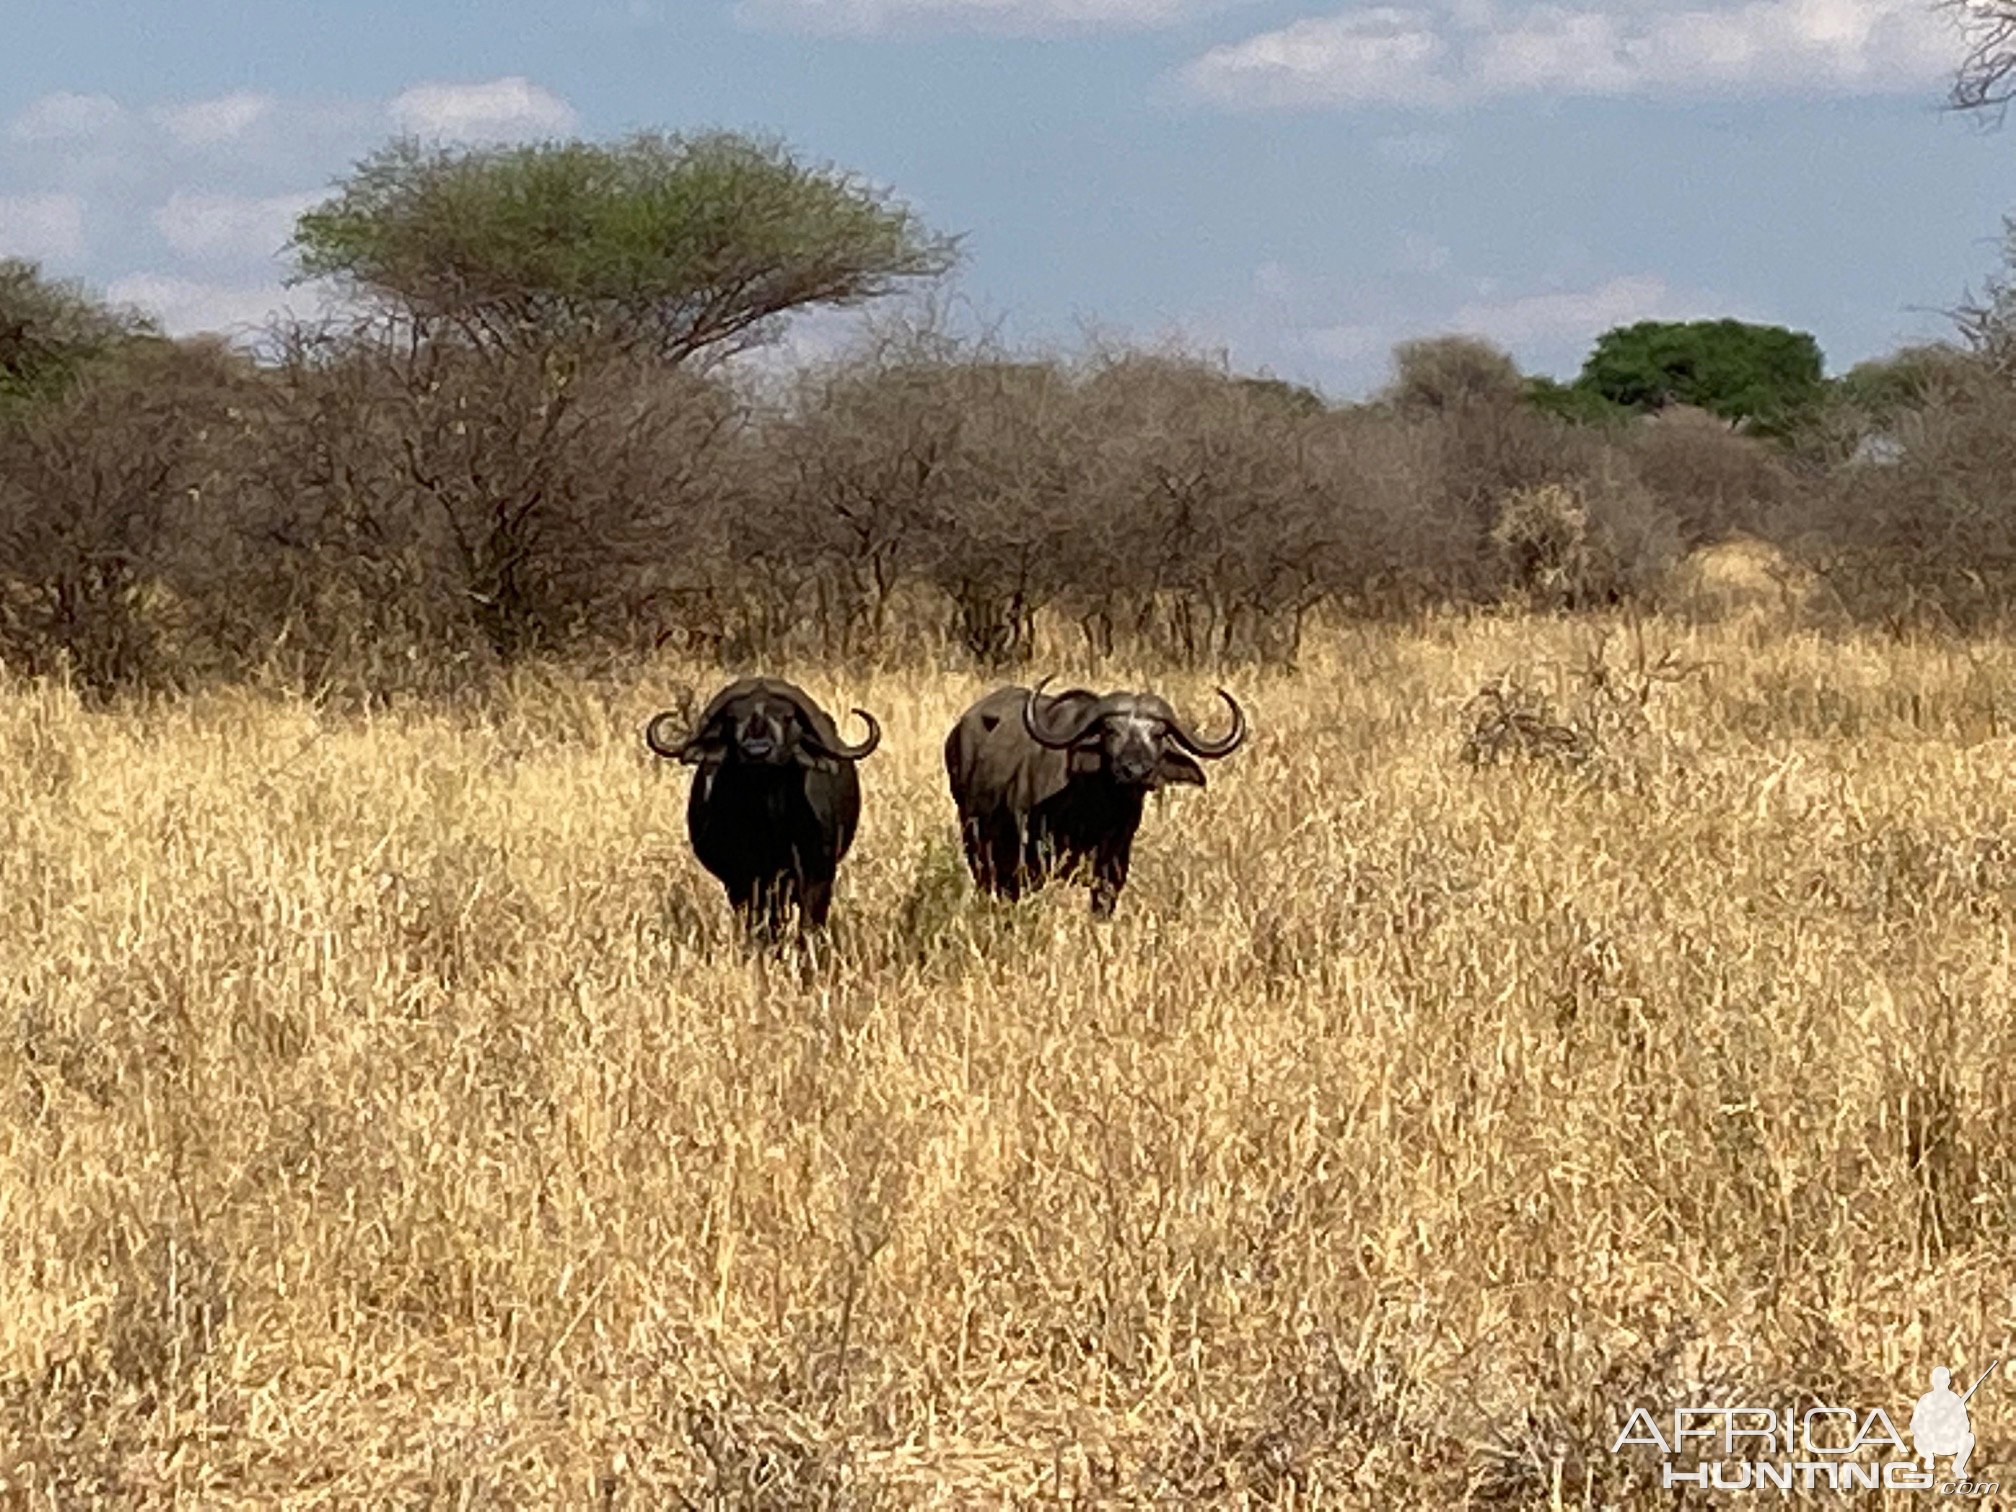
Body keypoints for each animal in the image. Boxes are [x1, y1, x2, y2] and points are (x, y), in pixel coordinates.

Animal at [645, 677, 883, 935]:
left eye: (787, 717)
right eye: (732, 718)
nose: (757, 751)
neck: (770, 821)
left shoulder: (818, 873)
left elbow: (810, 921)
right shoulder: (744, 878)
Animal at [939, 681, 1241, 919]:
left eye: (1157, 734)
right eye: (1110, 730)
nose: (1135, 771)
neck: (1095, 812)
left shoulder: (1111, 869)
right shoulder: (1031, 863)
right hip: (975, 840)